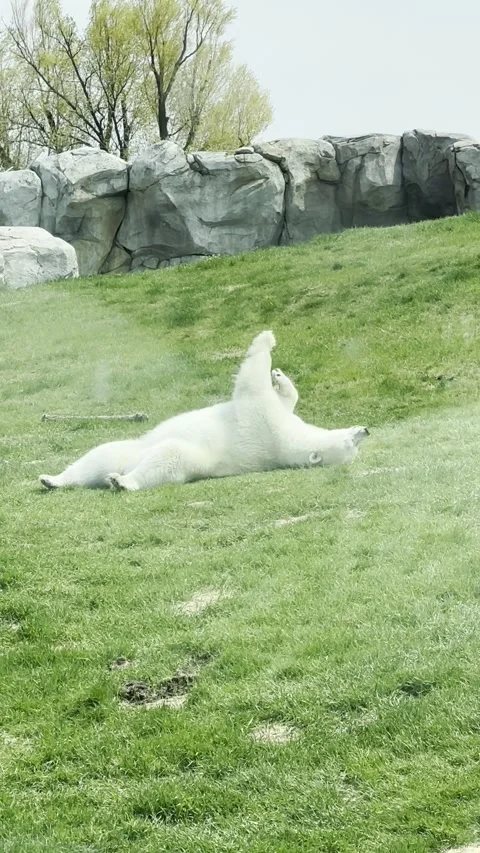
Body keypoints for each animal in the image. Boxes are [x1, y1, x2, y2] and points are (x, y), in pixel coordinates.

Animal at [39, 330, 369, 492]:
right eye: (353, 442)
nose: (365, 430)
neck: (288, 444)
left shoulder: (266, 422)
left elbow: (251, 384)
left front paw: (266, 340)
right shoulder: (282, 419)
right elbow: (288, 400)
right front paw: (278, 375)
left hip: (190, 461)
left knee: (166, 459)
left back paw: (122, 482)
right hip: (127, 451)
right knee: (100, 454)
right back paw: (52, 479)